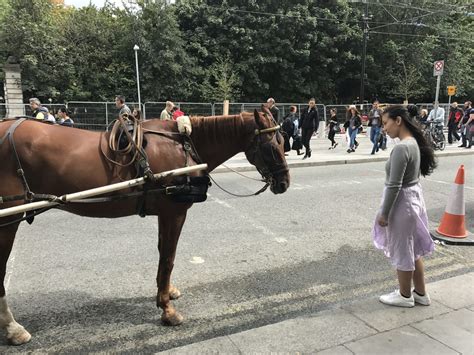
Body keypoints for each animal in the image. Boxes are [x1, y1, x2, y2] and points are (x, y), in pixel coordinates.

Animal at [0, 110, 288, 344]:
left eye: (284, 142)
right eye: (272, 146)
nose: (284, 183)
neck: (183, 146)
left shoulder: (165, 213)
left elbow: (163, 254)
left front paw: (166, 292)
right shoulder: (174, 212)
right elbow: (169, 257)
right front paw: (167, 310)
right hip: (6, 222)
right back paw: (13, 328)